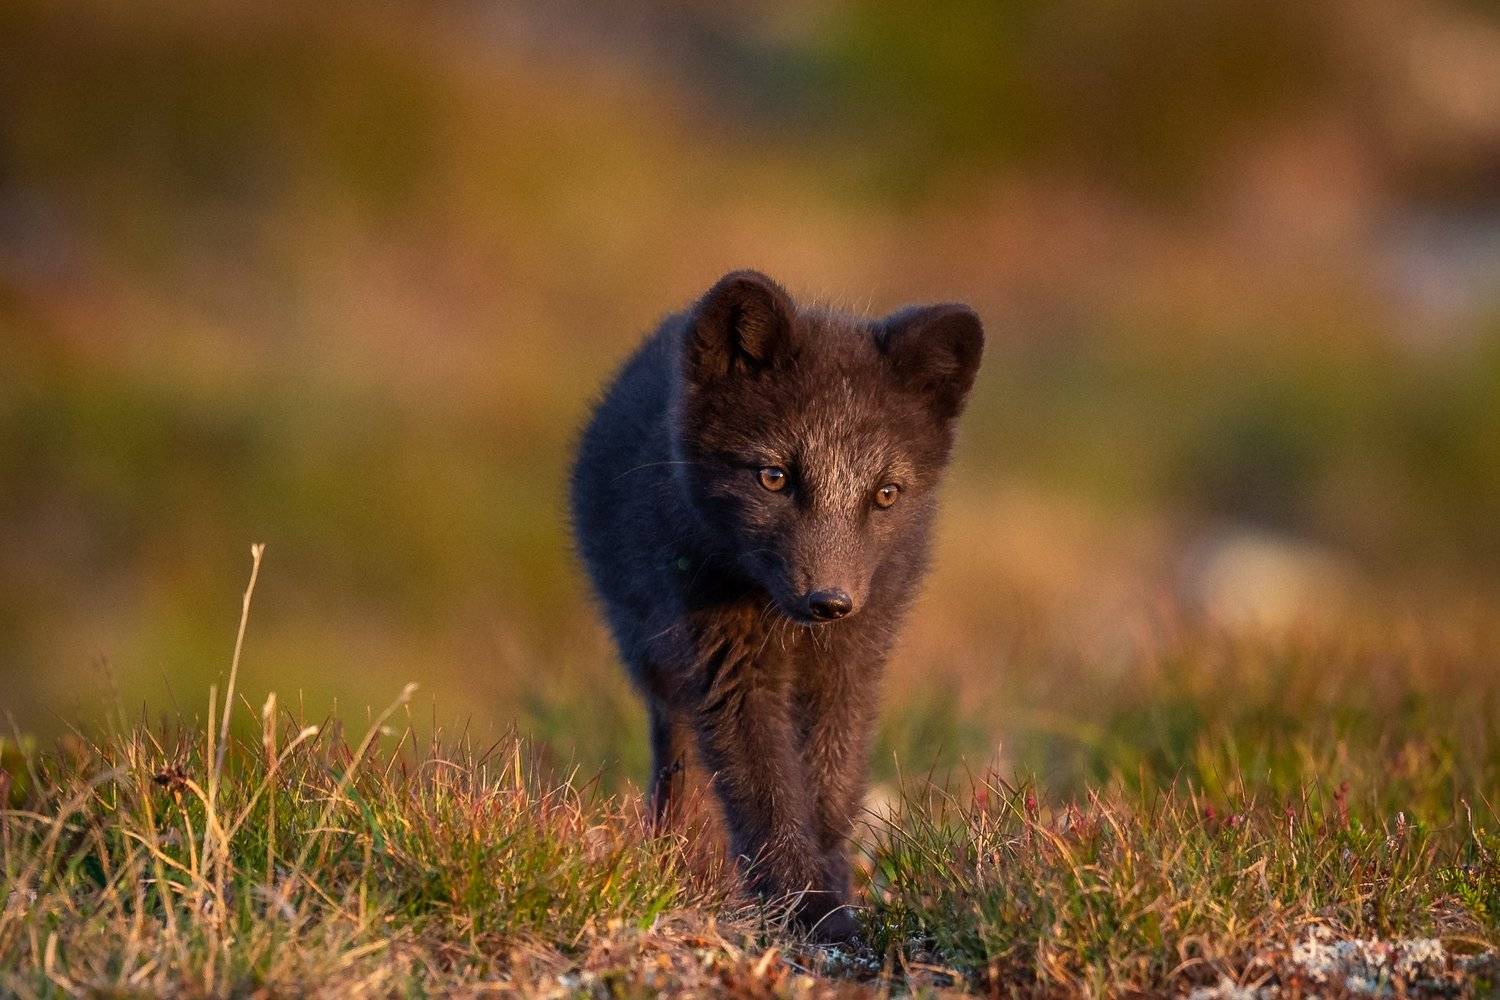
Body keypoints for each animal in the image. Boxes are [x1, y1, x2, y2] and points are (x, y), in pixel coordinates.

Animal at [569, 270, 983, 941]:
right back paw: (679, 859)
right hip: (650, 652)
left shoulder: (854, 654)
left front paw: (832, 896)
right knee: (680, 762)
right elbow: (762, 786)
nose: (829, 601)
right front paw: (806, 910)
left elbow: (830, 785)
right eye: (774, 477)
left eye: (885, 493)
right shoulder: (722, 658)